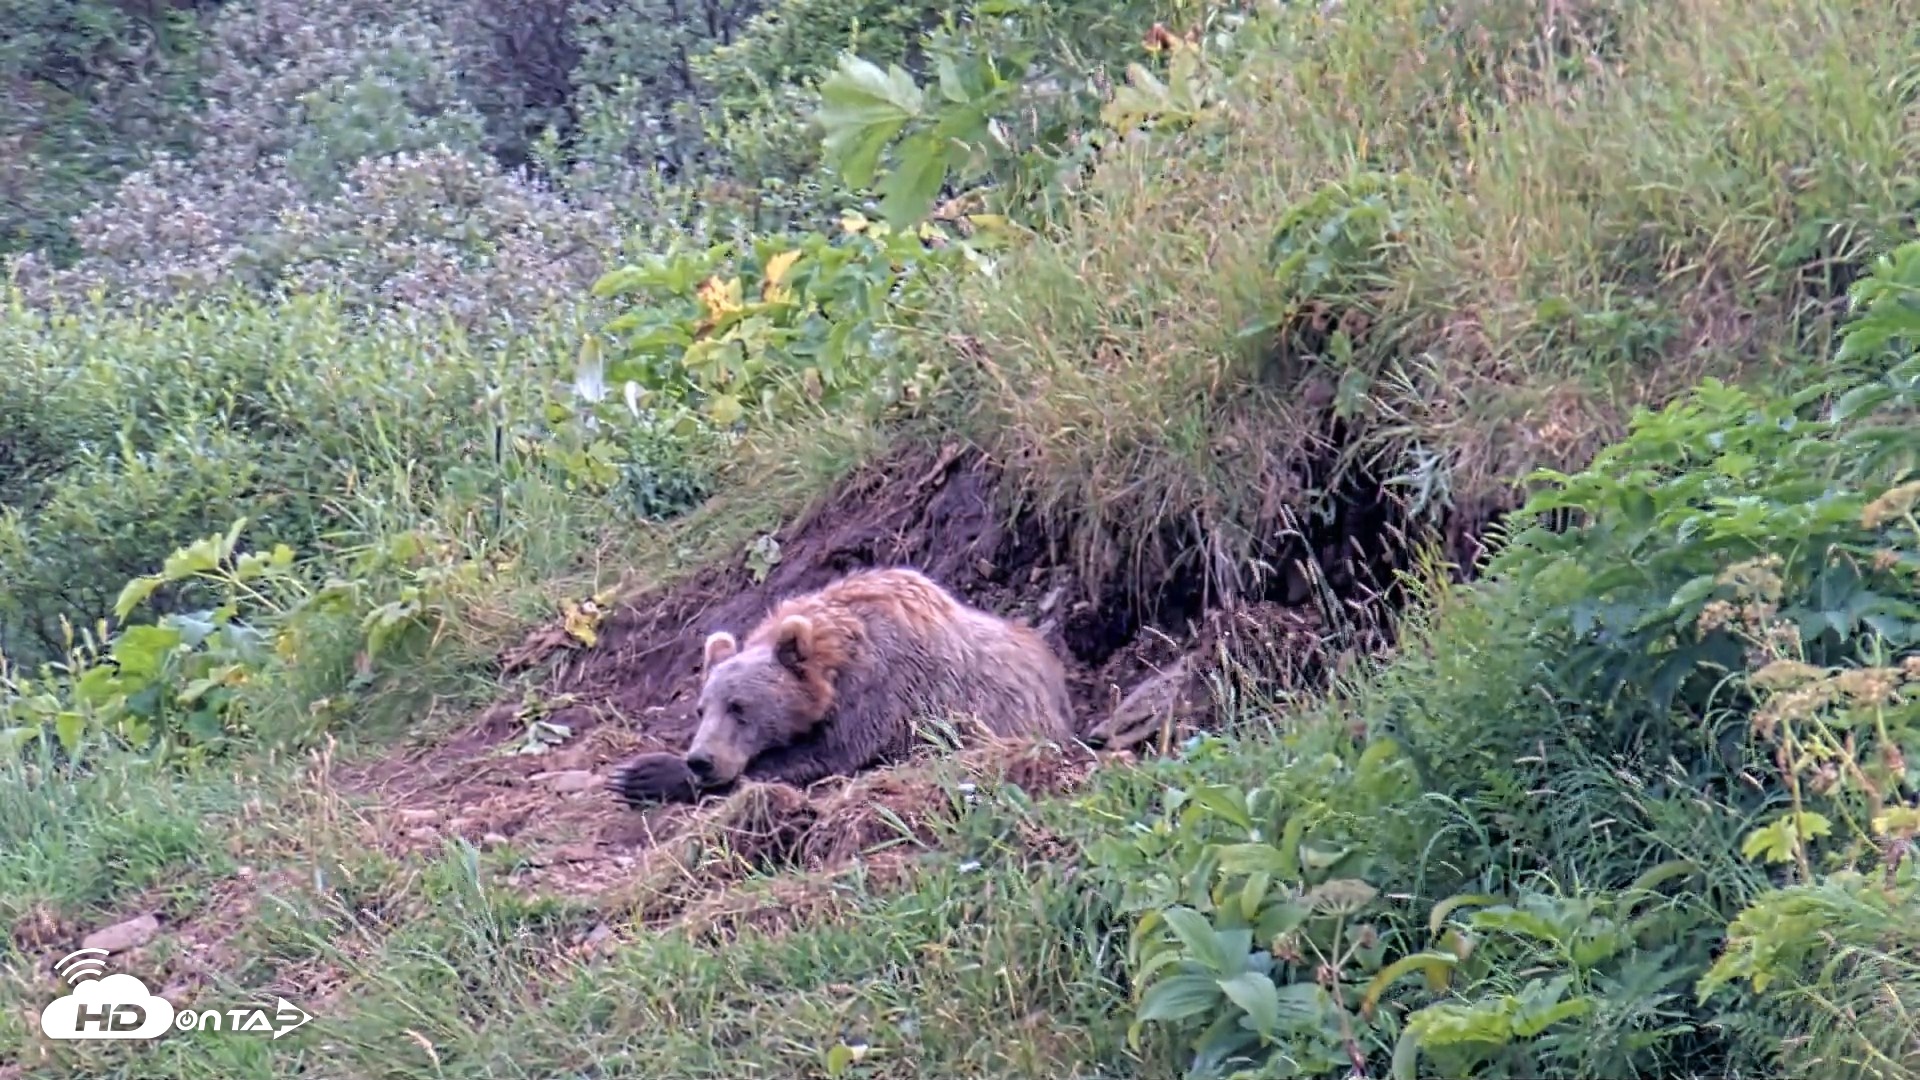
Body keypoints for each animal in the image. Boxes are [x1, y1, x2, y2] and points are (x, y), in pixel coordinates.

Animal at [606, 566, 1077, 808]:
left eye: (739, 707)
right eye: (703, 709)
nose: (701, 760)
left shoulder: (885, 691)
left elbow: (826, 754)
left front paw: (647, 773)